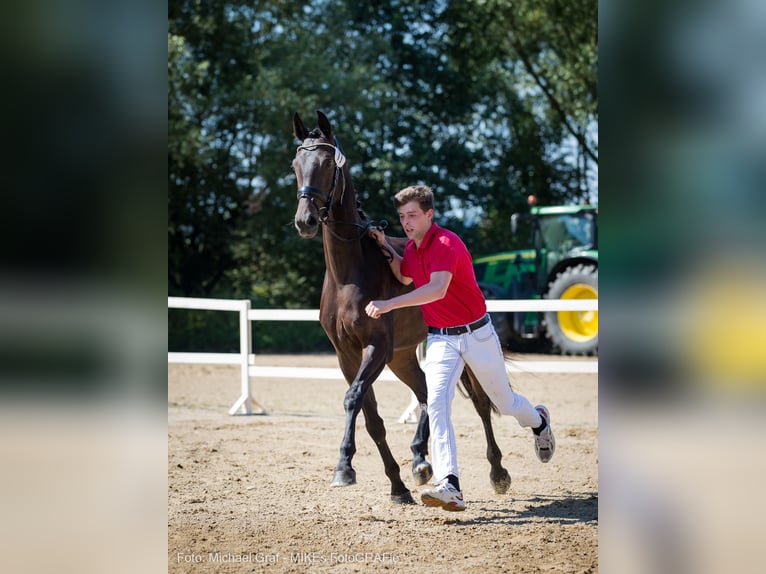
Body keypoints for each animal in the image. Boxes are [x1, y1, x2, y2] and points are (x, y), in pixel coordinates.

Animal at [292, 111, 512, 504]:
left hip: (437, 356)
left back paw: (497, 472)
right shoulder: (347, 355)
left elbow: (353, 400)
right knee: (426, 392)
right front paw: (395, 484)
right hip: (403, 356)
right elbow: (371, 416)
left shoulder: (376, 348)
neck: (349, 274)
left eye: (327, 164)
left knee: (481, 403)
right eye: (295, 165)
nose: (306, 221)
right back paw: (421, 461)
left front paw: (344, 467)